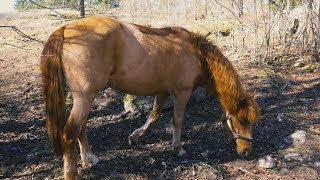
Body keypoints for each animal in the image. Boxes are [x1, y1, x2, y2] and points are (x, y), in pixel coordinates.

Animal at [40, 16, 260, 179]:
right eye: (241, 121)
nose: (247, 151)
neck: (197, 54)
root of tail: (65, 29)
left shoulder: (162, 91)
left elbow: (154, 116)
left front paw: (136, 136)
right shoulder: (182, 93)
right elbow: (177, 121)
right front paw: (177, 148)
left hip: (84, 97)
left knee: (81, 127)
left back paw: (88, 159)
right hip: (85, 97)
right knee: (70, 132)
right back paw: (72, 173)